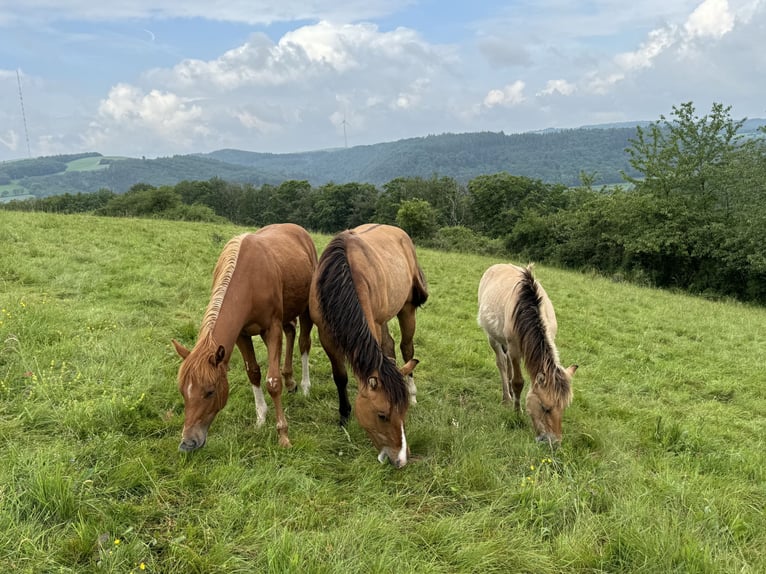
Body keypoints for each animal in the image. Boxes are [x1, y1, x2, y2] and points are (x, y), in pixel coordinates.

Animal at [172, 225, 316, 454]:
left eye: (210, 392)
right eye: (183, 392)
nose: (188, 443)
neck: (249, 280)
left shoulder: (271, 328)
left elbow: (272, 382)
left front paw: (283, 435)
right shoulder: (242, 335)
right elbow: (253, 373)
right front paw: (261, 418)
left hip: (306, 309)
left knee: (303, 342)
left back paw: (304, 386)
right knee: (291, 331)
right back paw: (290, 380)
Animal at [308, 223, 428, 470]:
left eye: (404, 413)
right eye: (382, 415)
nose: (401, 459)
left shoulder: (374, 322)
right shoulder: (326, 335)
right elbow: (340, 377)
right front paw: (344, 416)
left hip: (406, 309)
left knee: (406, 348)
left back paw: (412, 390)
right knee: (391, 348)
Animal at [476, 264, 580, 448]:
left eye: (564, 408)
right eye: (545, 408)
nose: (555, 443)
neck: (528, 309)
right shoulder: (514, 349)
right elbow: (518, 382)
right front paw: (517, 412)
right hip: (493, 338)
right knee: (502, 364)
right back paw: (507, 398)